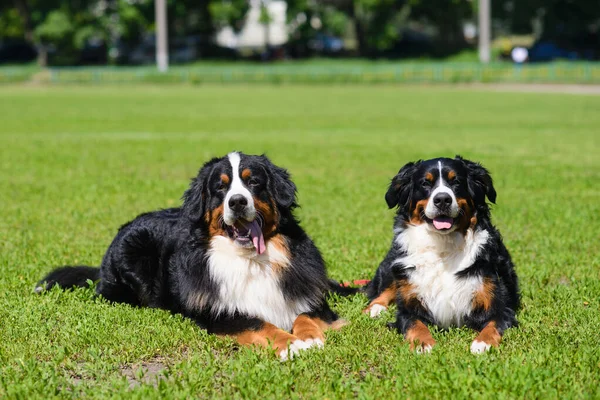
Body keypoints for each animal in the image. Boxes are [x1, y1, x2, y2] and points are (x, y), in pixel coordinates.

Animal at [38, 152, 352, 360]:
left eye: (254, 183)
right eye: (220, 187)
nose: (237, 202)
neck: (250, 260)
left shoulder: (310, 296)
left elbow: (305, 314)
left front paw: (309, 337)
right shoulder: (219, 312)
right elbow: (259, 322)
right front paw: (290, 344)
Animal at [364, 155, 516, 354]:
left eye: (456, 182)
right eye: (425, 183)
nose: (442, 199)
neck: (442, 247)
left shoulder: (499, 304)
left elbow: (494, 323)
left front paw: (483, 343)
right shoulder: (409, 307)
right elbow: (415, 324)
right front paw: (424, 344)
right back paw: (374, 308)